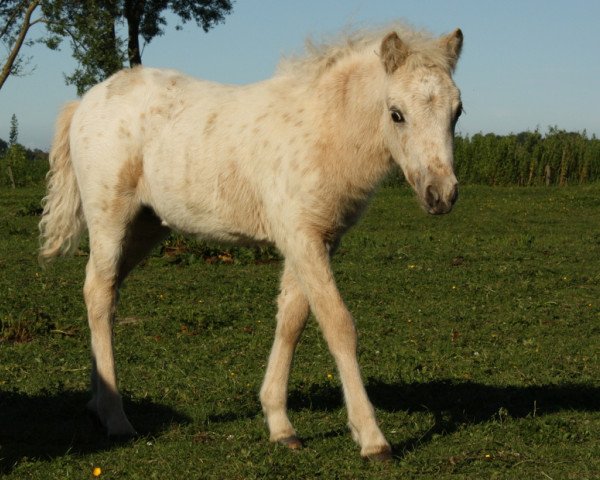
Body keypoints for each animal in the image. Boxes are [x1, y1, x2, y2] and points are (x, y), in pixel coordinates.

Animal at [38, 23, 464, 462]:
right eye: (396, 113)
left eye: (457, 111)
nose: (441, 195)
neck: (323, 129)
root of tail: (86, 101)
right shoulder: (302, 238)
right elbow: (338, 324)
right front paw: (372, 437)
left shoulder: (315, 239)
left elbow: (292, 320)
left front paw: (280, 424)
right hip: (109, 219)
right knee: (98, 293)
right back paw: (116, 418)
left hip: (145, 227)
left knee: (105, 295)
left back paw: (96, 405)